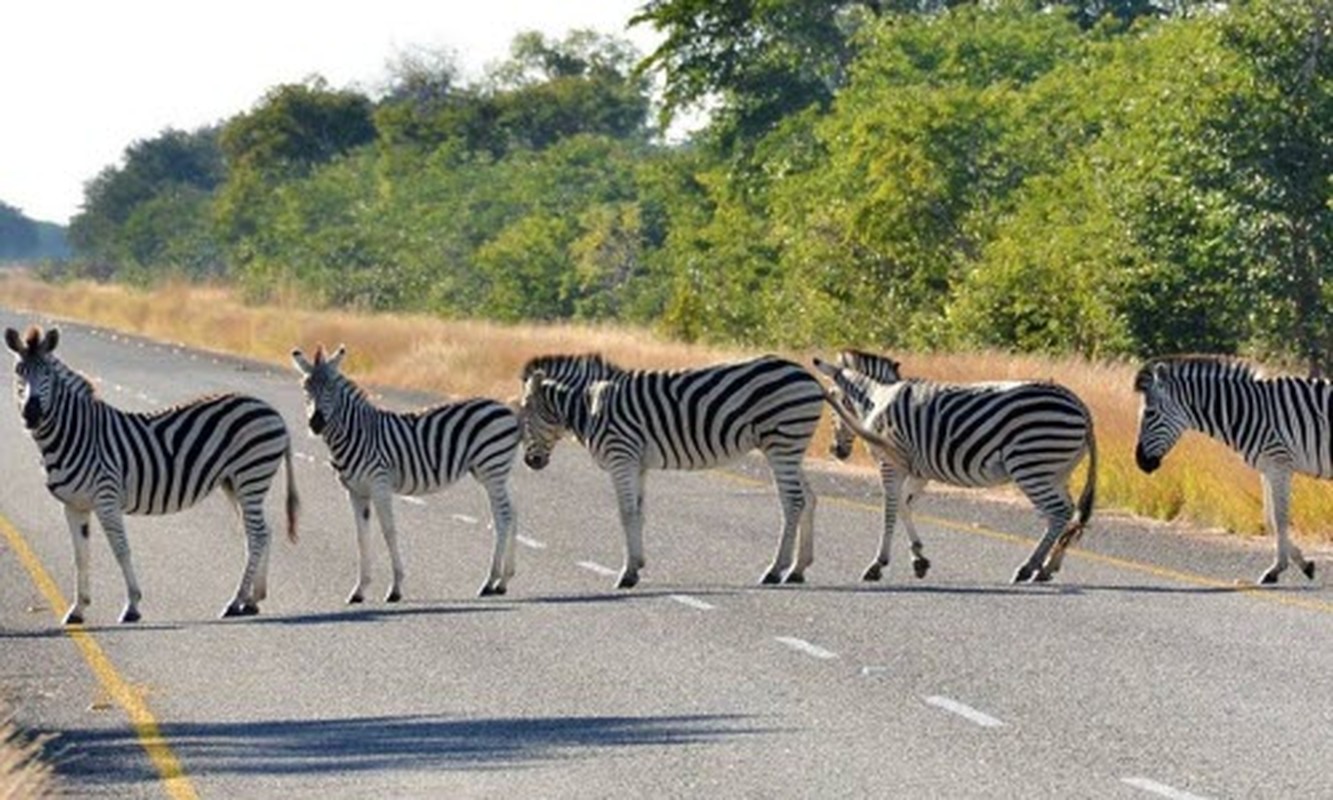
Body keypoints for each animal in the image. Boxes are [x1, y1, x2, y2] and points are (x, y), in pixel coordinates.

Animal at [5, 325, 299, 624]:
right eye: (19, 370)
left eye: (47, 374)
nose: (31, 413)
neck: (76, 433)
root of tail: (271, 410)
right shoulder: (74, 505)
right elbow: (80, 556)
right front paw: (77, 609)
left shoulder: (106, 498)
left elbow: (121, 550)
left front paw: (132, 606)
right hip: (234, 483)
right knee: (262, 532)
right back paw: (252, 599)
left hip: (251, 475)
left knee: (257, 535)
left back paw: (235, 601)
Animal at [294, 344, 522, 600]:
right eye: (305, 388)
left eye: (331, 388)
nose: (316, 424)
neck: (358, 433)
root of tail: (505, 408)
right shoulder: (355, 491)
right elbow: (361, 537)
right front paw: (359, 590)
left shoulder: (379, 485)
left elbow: (389, 532)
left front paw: (395, 588)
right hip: (493, 472)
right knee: (512, 511)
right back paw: (503, 581)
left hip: (491, 468)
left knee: (503, 516)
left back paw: (490, 582)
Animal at [517, 354, 821, 586]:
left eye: (525, 412)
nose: (530, 461)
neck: (589, 409)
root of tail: (808, 375)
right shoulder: (637, 464)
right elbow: (639, 512)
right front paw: (637, 565)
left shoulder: (621, 458)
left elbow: (626, 513)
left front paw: (626, 574)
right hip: (789, 448)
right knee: (809, 499)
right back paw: (797, 569)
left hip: (782, 443)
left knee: (793, 502)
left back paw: (775, 570)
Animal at [815, 349, 1098, 581]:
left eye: (833, 399)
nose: (835, 451)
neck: (878, 397)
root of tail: (1079, 403)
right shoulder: (919, 471)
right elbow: (905, 506)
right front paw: (919, 559)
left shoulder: (890, 463)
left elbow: (890, 510)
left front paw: (878, 564)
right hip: (1055, 471)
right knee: (1069, 514)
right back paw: (1047, 567)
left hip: (1030, 465)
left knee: (1058, 512)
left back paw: (1029, 567)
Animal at [1135, 354, 1322, 581]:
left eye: (1150, 413)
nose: (1140, 462)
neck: (1250, 413)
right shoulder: (1269, 468)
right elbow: (1270, 517)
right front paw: (1302, 564)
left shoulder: (1280, 465)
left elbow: (1280, 518)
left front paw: (1276, 568)